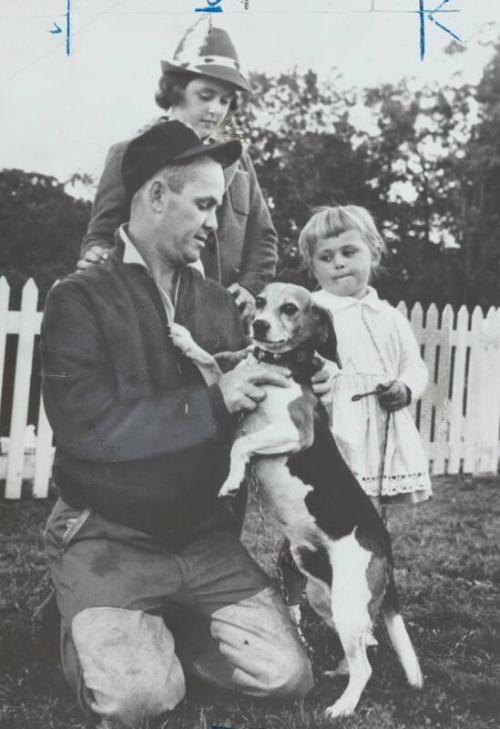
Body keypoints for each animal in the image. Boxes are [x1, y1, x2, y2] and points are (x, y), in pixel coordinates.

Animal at [169, 282, 422, 716]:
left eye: (289, 308)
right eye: (260, 301)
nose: (258, 324)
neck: (280, 368)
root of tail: (385, 544)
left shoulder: (293, 431)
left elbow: (242, 445)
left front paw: (232, 481)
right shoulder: (234, 394)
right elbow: (212, 367)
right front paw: (185, 339)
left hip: (348, 601)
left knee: (366, 665)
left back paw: (344, 705)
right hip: (325, 597)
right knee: (362, 645)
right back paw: (340, 670)